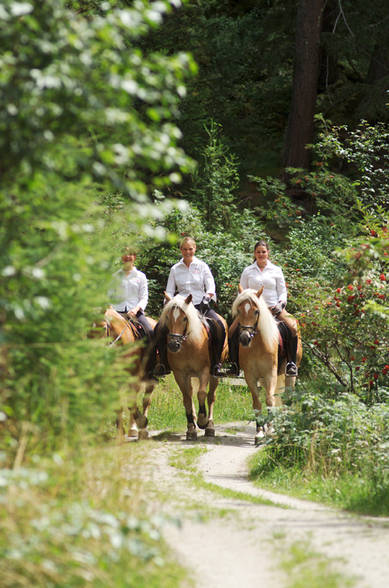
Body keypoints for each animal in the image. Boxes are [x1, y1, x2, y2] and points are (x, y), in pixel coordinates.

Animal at [104, 306, 157, 438]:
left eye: (103, 327)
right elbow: (119, 404)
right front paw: (120, 432)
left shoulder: (133, 377)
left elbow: (131, 403)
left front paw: (142, 422)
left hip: (151, 378)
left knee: (145, 401)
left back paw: (140, 430)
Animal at [160, 294, 229, 440]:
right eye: (168, 317)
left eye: (185, 318)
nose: (173, 345)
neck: (188, 345)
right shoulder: (180, 374)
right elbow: (186, 398)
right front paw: (191, 428)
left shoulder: (204, 371)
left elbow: (202, 393)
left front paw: (202, 421)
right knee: (191, 394)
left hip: (214, 374)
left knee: (211, 396)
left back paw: (210, 426)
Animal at [232, 288, 302, 444]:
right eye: (239, 310)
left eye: (256, 311)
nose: (244, 338)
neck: (257, 345)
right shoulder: (250, 376)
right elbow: (257, 403)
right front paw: (259, 432)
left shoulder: (270, 374)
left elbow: (270, 400)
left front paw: (270, 431)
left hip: (290, 374)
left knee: (287, 398)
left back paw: (285, 427)